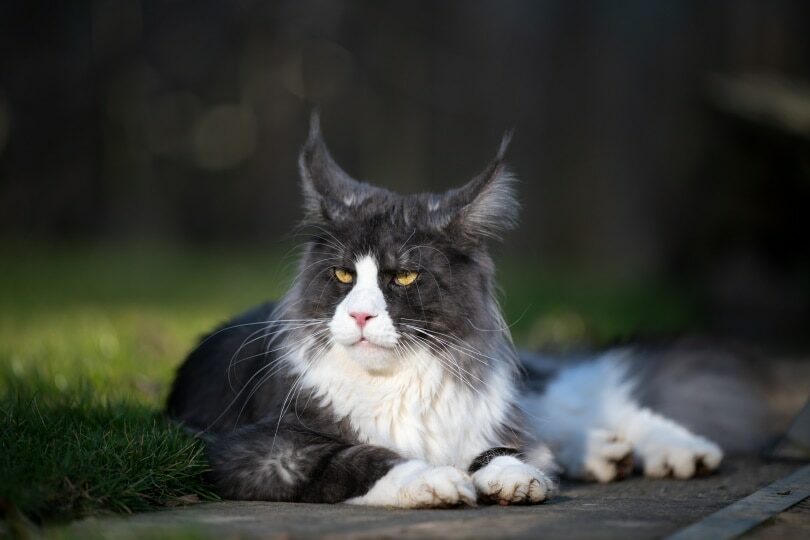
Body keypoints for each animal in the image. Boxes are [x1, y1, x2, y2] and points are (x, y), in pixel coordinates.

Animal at [166, 114, 732, 506]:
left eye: (404, 276)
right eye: (344, 276)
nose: (361, 316)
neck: (398, 381)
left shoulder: (481, 418)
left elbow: (497, 448)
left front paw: (514, 477)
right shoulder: (254, 449)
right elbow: (359, 457)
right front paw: (436, 479)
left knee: (583, 397)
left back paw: (679, 451)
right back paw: (603, 454)